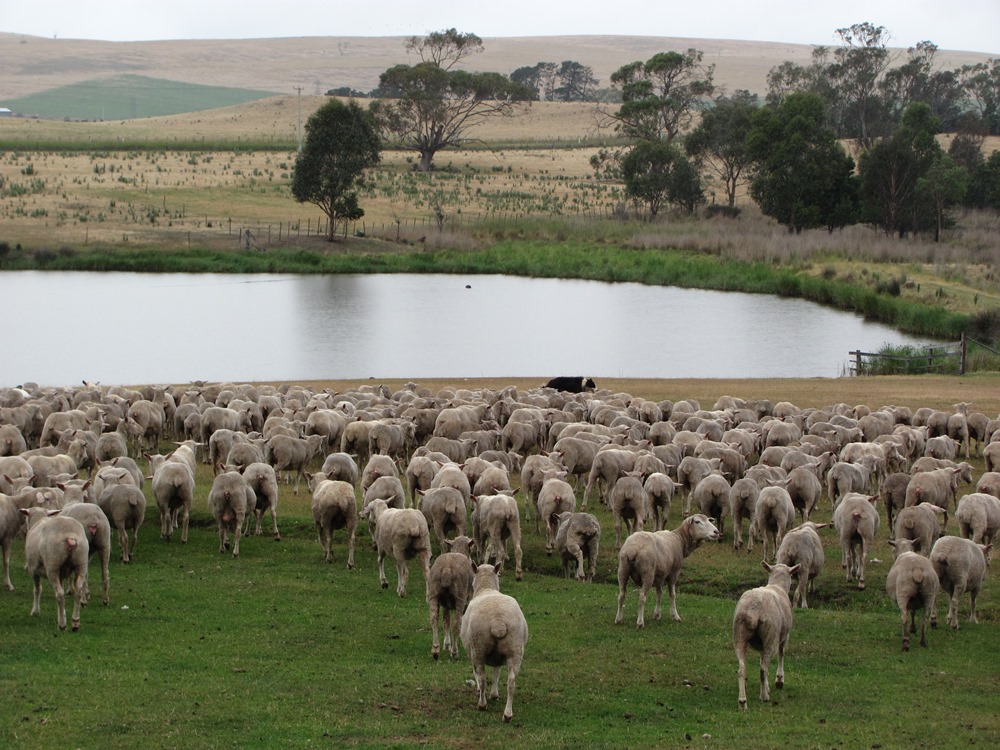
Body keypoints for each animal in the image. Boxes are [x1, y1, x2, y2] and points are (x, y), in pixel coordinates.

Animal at [458, 564, 528, 724]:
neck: (486, 588)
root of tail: (498, 622)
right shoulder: (497, 657)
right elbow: (496, 673)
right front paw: (495, 694)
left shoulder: (472, 653)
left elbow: (477, 673)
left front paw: (481, 691)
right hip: (515, 648)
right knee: (511, 681)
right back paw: (507, 714)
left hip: (478, 647)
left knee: (483, 678)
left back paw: (482, 705)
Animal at [732, 564, 800, 712]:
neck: (777, 585)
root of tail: (753, 609)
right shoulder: (784, 637)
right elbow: (781, 653)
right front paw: (779, 680)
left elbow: (761, 660)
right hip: (771, 635)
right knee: (763, 669)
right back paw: (764, 697)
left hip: (739, 636)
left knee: (742, 669)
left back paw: (742, 702)